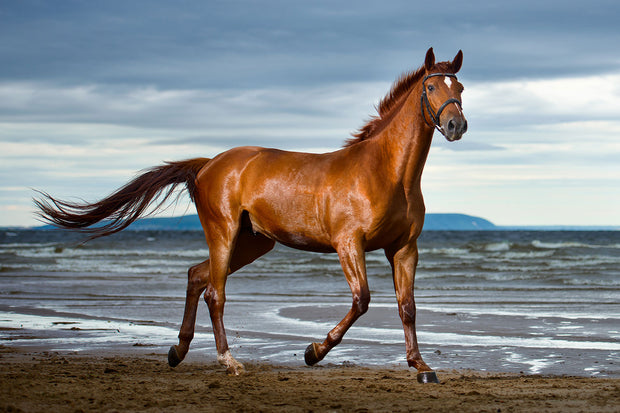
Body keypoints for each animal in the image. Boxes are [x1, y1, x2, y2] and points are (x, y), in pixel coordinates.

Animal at [35, 48, 464, 384]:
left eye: (459, 89)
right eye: (431, 88)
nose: (456, 125)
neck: (385, 172)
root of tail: (208, 164)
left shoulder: (403, 248)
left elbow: (407, 307)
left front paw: (421, 366)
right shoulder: (348, 244)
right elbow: (362, 300)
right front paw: (313, 351)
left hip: (252, 242)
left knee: (197, 276)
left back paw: (178, 350)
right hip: (224, 233)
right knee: (214, 292)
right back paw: (229, 362)